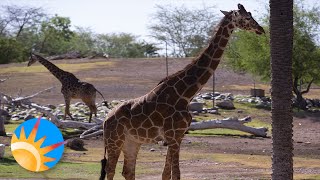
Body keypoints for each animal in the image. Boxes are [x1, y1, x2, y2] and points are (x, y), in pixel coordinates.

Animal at [100, 4, 264, 180]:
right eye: (246, 17)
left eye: (250, 14)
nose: (261, 29)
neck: (185, 94)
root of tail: (106, 119)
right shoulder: (173, 135)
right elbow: (176, 174)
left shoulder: (178, 136)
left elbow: (166, 174)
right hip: (114, 140)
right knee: (110, 170)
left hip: (132, 142)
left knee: (127, 171)